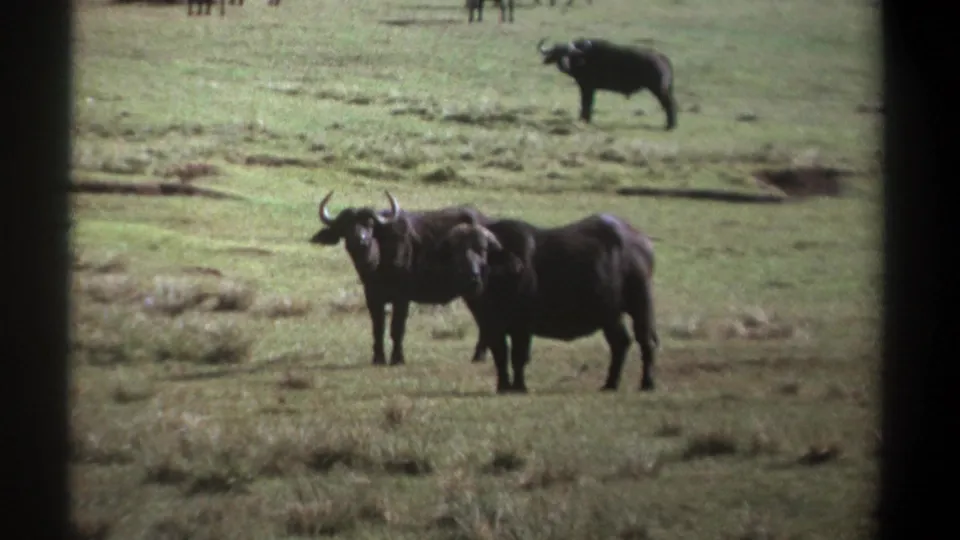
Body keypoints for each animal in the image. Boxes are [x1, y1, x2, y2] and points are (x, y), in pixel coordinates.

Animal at [309, 191, 491, 366]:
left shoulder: (402, 298)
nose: (360, 240)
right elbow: (378, 327)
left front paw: (397, 358)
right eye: (345, 225)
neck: (378, 262)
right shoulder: (372, 297)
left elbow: (397, 328)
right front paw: (378, 358)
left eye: (370, 224)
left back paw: (479, 355)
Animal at [433, 214, 660, 394]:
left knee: (646, 341)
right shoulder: (492, 326)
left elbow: (519, 356)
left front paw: (519, 387)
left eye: (482, 250)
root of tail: (642, 241)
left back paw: (647, 383)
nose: (471, 276)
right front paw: (503, 386)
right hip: (610, 314)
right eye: (455, 252)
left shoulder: (522, 326)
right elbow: (500, 356)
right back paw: (610, 384)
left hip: (641, 304)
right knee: (620, 343)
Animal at [537, 37, 677, 130]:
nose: (563, 66)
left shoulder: (587, 87)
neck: (584, 58)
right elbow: (586, 103)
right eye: (556, 54)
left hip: (659, 89)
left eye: (569, 54)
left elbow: (586, 103)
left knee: (669, 104)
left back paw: (670, 126)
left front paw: (584, 119)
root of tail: (663, 59)